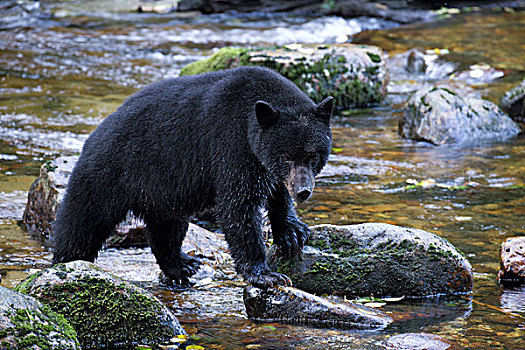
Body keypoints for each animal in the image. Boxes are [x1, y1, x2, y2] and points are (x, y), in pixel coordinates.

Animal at [53, 65, 332, 288]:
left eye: (313, 156)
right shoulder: (231, 146)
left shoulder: (263, 164)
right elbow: (238, 206)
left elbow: (277, 193)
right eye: (285, 156)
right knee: (82, 223)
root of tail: (93, 135)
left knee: (168, 227)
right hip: (106, 174)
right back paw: (66, 263)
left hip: (162, 189)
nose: (303, 191)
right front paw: (265, 274)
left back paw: (181, 264)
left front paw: (293, 231)